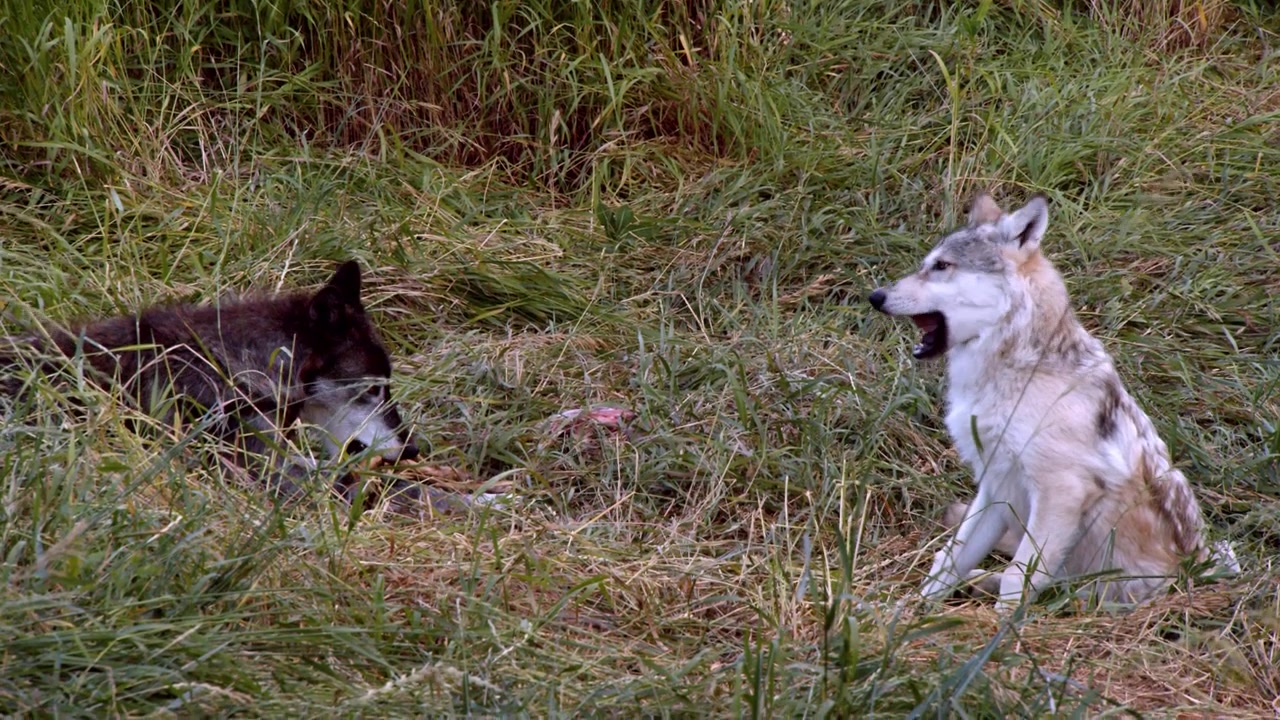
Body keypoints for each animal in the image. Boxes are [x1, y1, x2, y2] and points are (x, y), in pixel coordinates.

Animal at [868, 193, 1237, 607]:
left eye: (942, 266)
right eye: (926, 264)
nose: (875, 296)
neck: (1015, 372)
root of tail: (1204, 570)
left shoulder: (1061, 492)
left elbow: (1016, 577)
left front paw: (996, 626)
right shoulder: (995, 486)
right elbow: (948, 560)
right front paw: (907, 614)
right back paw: (977, 583)